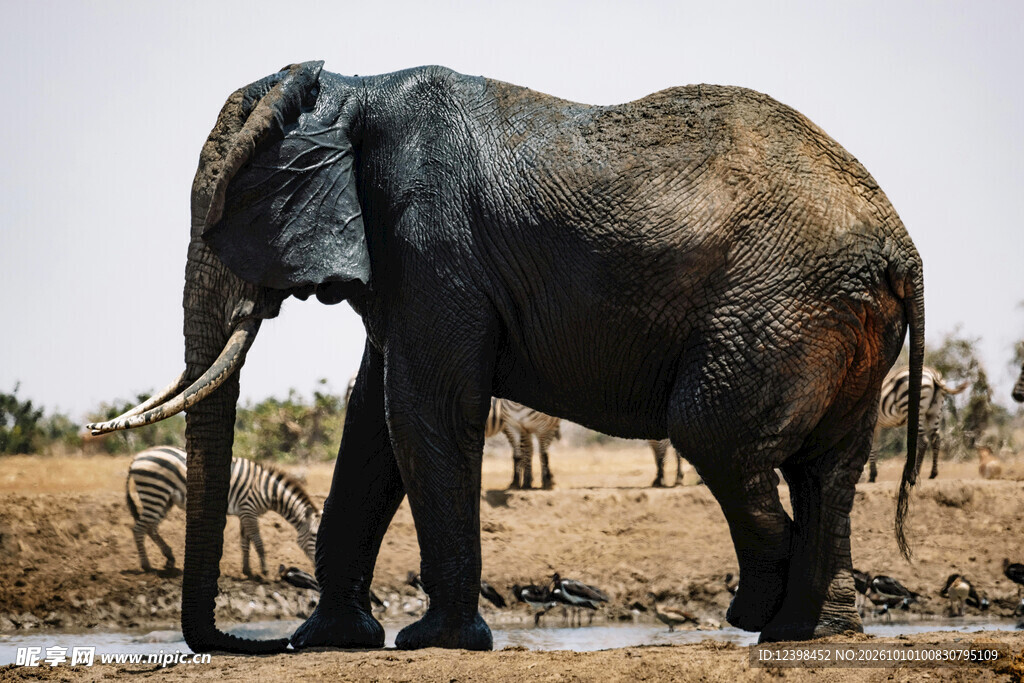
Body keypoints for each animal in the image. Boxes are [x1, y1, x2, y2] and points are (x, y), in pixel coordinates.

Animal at [87, 61, 925, 653]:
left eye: (220, 218)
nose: (250, 643)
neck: (351, 88)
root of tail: (900, 244)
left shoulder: (431, 238)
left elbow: (418, 409)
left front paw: (432, 642)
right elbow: (371, 424)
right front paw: (327, 640)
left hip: (783, 302)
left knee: (715, 433)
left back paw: (764, 614)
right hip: (838, 314)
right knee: (829, 466)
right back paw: (815, 630)